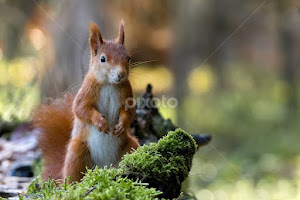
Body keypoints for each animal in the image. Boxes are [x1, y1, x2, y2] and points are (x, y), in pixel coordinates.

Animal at [33, 21, 139, 182]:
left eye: (128, 58)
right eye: (103, 59)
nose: (121, 74)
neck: (109, 84)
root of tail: (104, 167)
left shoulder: (127, 93)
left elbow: (129, 111)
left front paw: (122, 125)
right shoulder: (86, 91)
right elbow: (80, 109)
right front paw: (99, 121)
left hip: (131, 146)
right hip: (77, 151)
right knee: (73, 176)